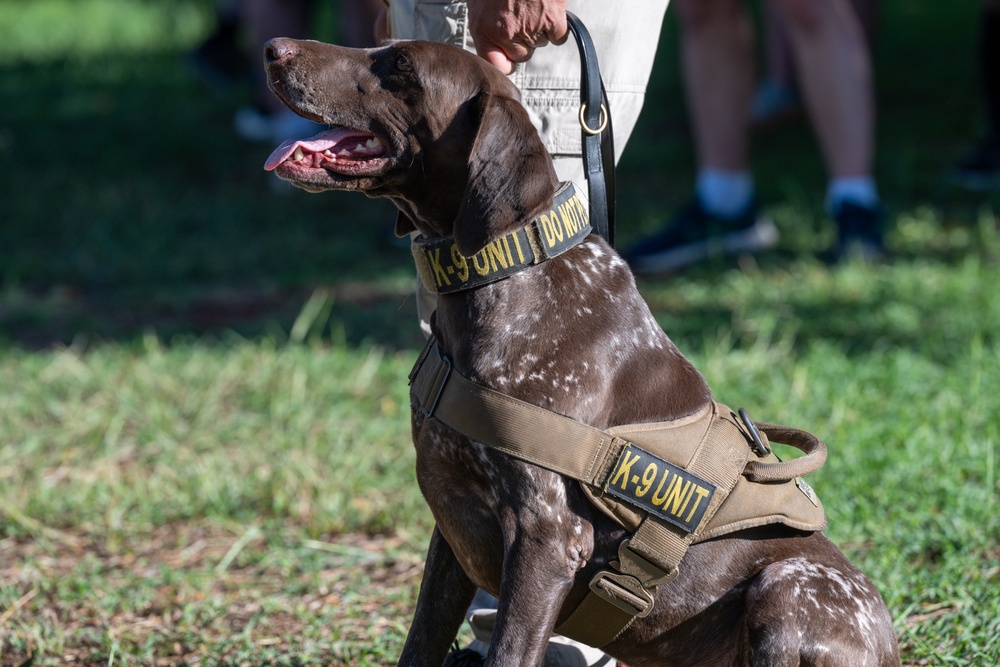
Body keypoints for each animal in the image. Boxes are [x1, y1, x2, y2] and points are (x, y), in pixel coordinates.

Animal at [262, 36, 904, 667]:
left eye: (399, 64)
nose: (272, 49)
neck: (508, 272)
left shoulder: (546, 538)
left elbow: (510, 651)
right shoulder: (452, 529)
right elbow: (419, 645)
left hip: (786, 584)